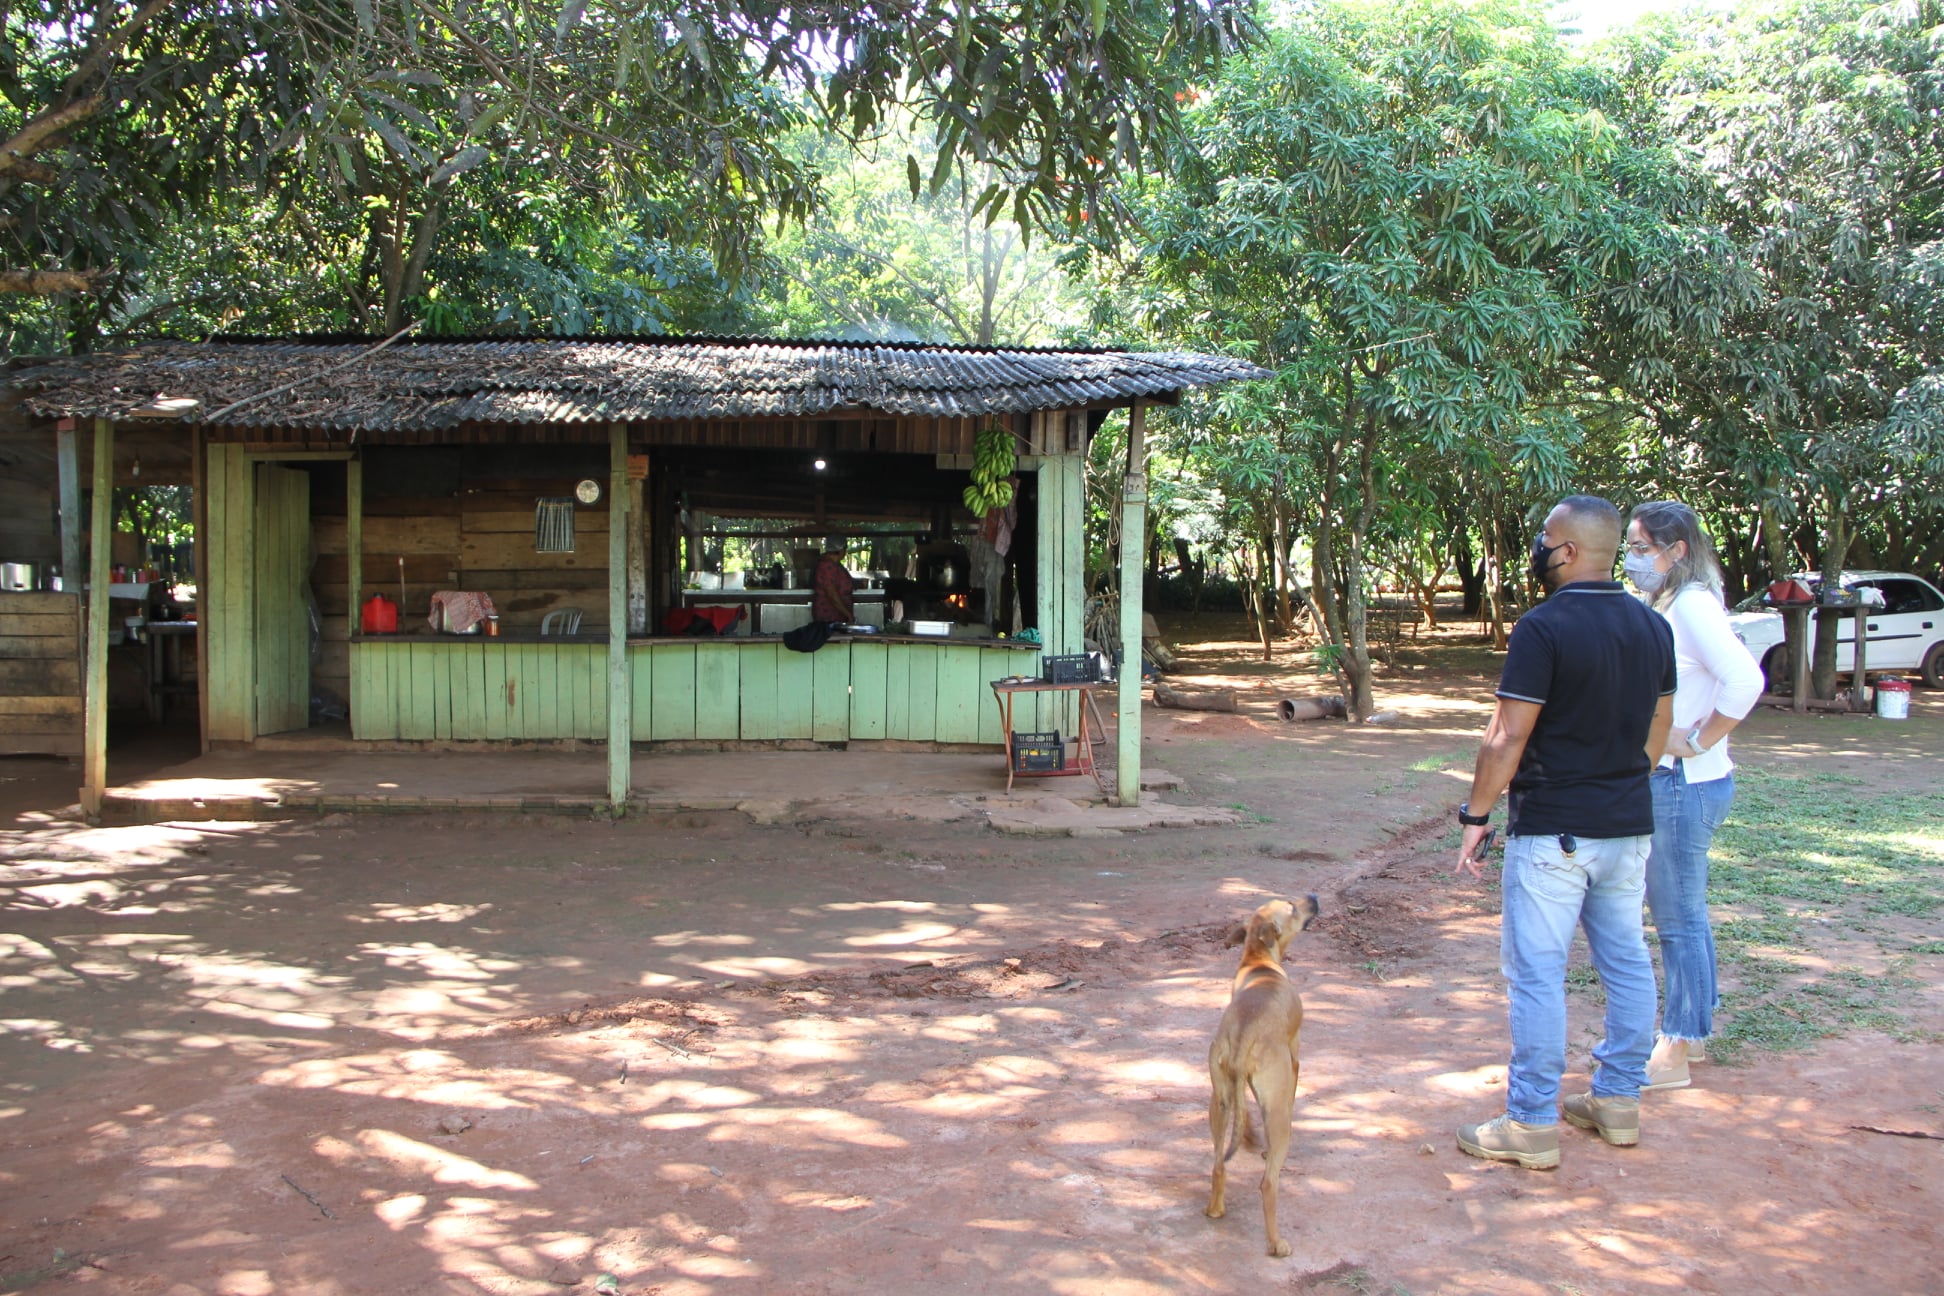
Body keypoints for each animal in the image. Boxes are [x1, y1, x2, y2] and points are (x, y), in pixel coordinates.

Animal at [1197, 893, 1321, 1259]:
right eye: (1292, 908)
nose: (1313, 897)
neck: (1259, 961)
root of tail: (1242, 1036)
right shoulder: (1294, 1058)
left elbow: (1246, 1114)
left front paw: (1251, 1138)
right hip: (1276, 1115)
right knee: (1268, 1184)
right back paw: (1276, 1244)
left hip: (1219, 1100)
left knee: (1219, 1163)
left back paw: (1216, 1209)